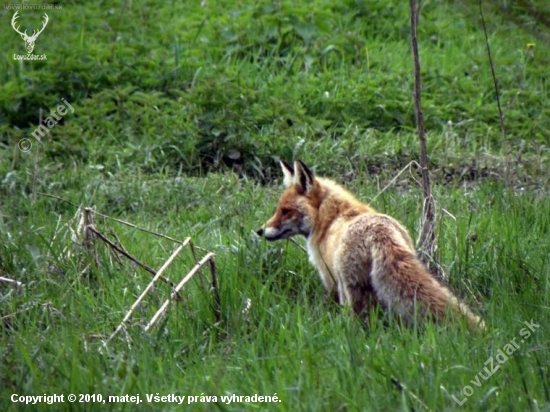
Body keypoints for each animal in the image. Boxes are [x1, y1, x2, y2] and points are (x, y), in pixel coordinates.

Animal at [256, 160, 486, 332]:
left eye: (285, 211)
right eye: (278, 209)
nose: (259, 230)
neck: (330, 219)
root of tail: (380, 233)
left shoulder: (331, 280)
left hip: (353, 290)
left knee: (359, 321)